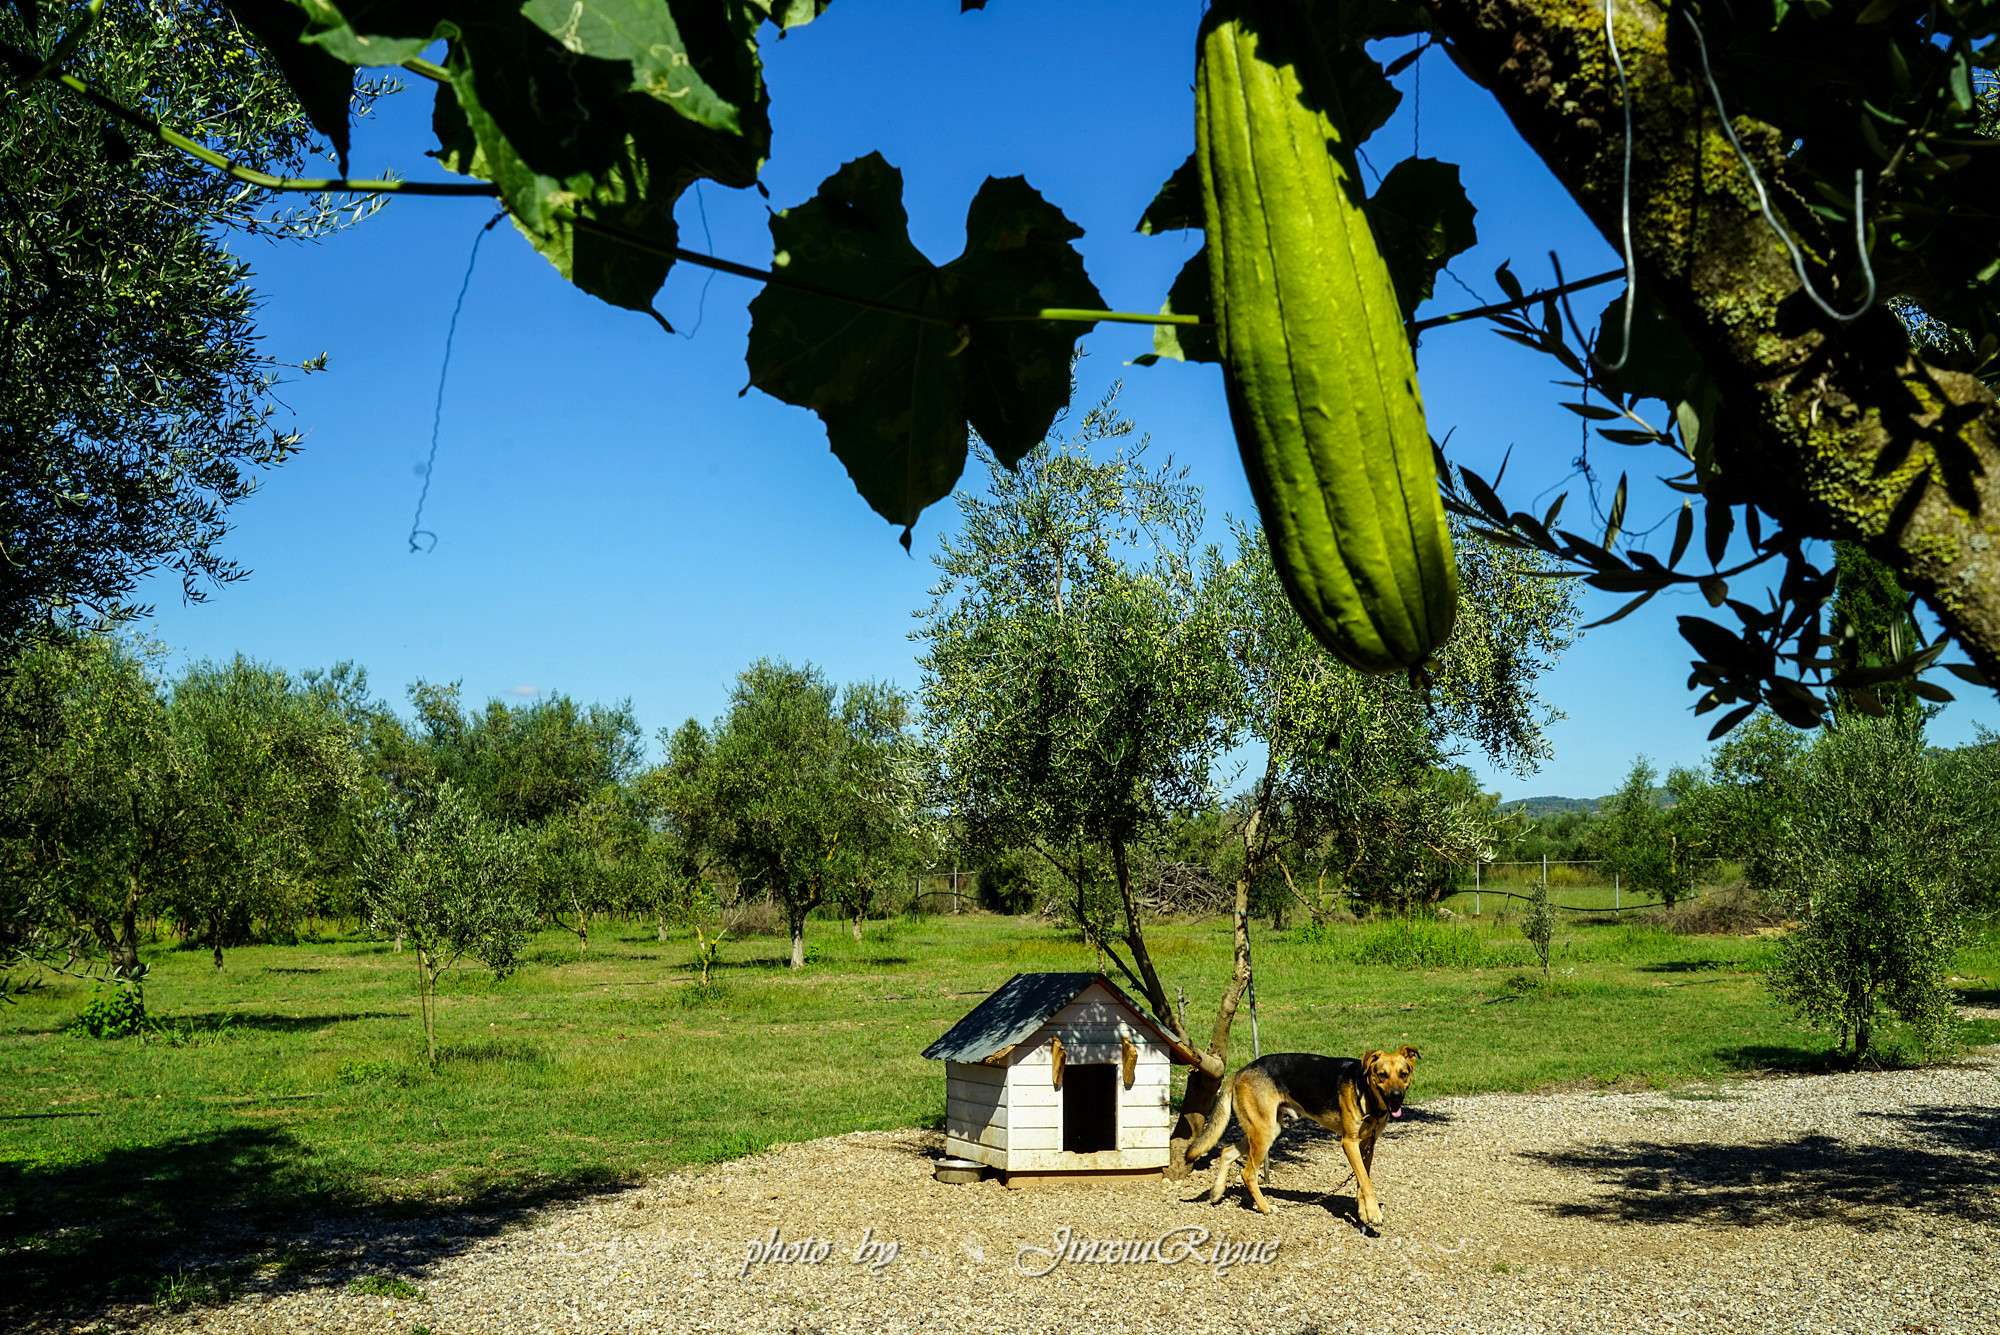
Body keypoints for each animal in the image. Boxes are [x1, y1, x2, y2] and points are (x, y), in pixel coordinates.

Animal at [1184, 1047, 1424, 1223]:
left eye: (1404, 1074)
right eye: (1381, 1075)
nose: (1396, 1096)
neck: (1365, 1092)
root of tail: (1240, 1072)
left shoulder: (1367, 1145)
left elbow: (1362, 1179)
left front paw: (1364, 1212)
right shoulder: (1349, 1142)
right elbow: (1366, 1181)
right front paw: (1373, 1213)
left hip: (1267, 1129)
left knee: (1226, 1151)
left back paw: (1217, 1192)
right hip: (1264, 1133)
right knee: (1248, 1173)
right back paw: (1265, 1207)